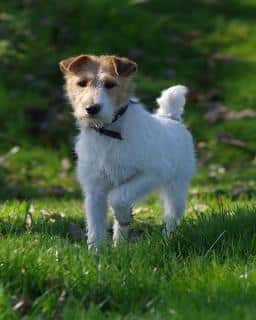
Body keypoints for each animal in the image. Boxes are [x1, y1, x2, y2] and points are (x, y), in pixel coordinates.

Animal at [59, 54, 196, 250]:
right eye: (81, 83)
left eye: (110, 84)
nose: (91, 108)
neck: (109, 132)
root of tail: (171, 118)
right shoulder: (94, 189)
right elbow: (95, 226)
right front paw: (96, 253)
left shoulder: (153, 173)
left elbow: (117, 197)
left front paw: (122, 217)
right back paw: (121, 245)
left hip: (176, 187)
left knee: (171, 217)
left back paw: (166, 239)